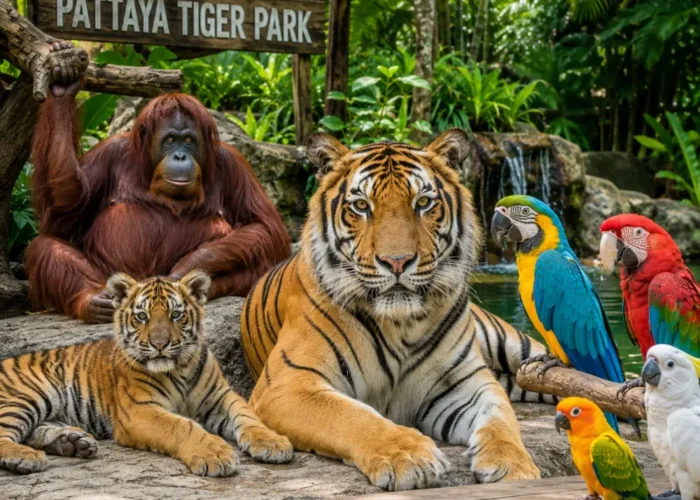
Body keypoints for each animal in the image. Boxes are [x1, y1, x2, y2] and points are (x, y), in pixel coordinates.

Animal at [0, 270, 293, 475]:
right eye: (142, 317)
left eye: (176, 315)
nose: (159, 344)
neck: (180, 369)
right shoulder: (140, 410)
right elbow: (182, 426)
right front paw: (215, 454)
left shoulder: (221, 397)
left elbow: (248, 416)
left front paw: (273, 442)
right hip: (27, 395)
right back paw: (26, 457)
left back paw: (74, 442)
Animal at [240, 129, 546, 492]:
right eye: (361, 206)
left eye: (423, 203)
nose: (397, 262)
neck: (402, 324)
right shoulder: (288, 384)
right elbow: (352, 417)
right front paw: (408, 457)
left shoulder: (467, 382)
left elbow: (500, 418)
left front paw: (514, 466)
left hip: (517, 348)